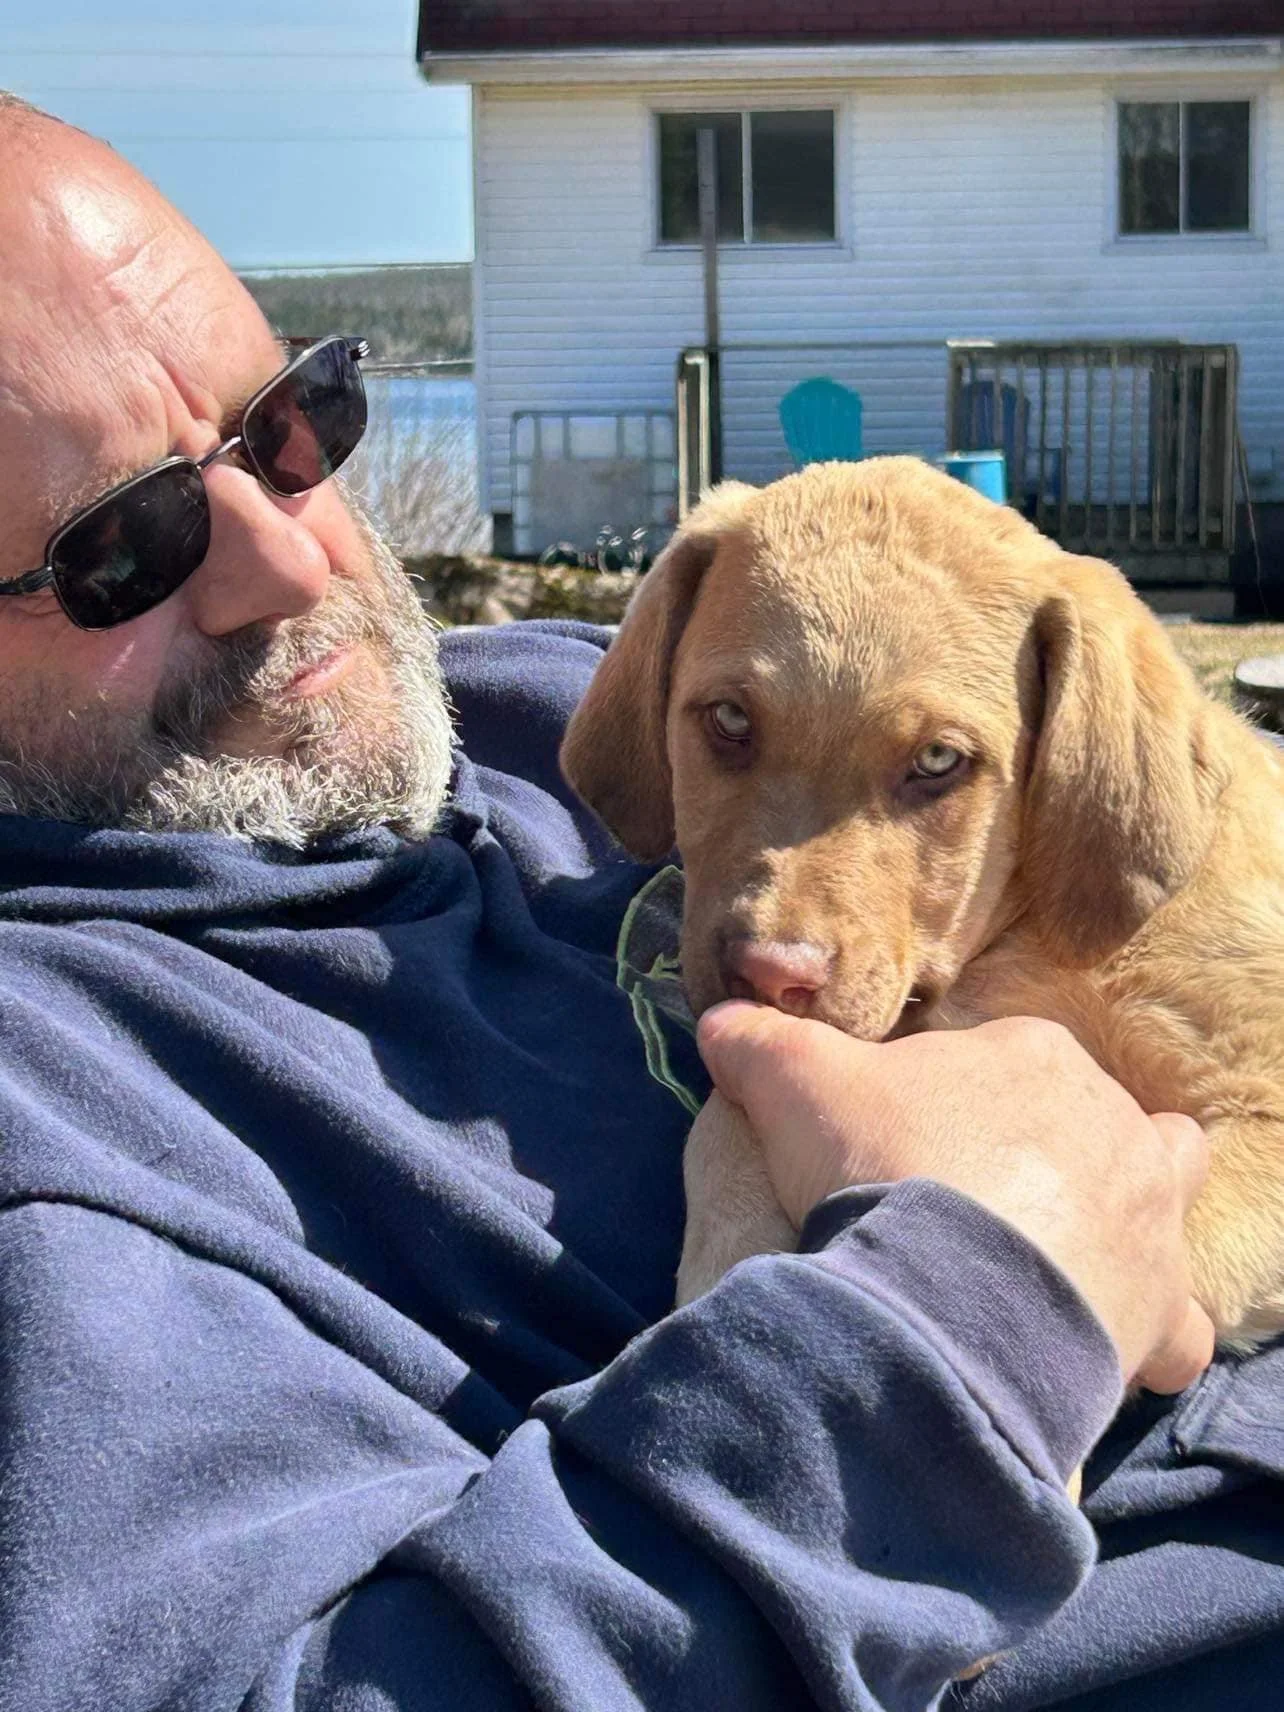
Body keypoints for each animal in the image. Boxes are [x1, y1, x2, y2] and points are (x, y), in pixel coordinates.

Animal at [561, 457, 1284, 1347]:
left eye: (939, 760)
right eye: (728, 719)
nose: (770, 978)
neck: (1024, 935)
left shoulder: (1261, 1112)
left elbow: (1168, 1261)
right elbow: (722, 1122)